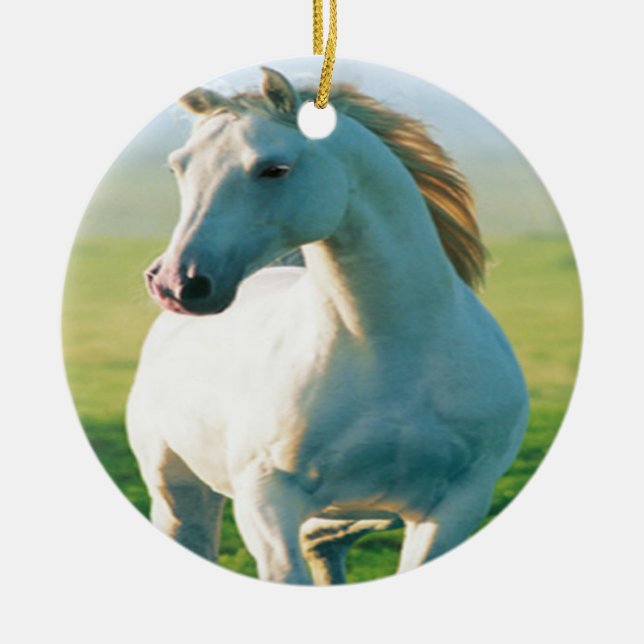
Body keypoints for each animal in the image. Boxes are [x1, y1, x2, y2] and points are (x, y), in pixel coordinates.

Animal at [126, 67, 529, 585]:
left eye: (274, 169)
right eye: (178, 167)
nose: (177, 283)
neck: (390, 351)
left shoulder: (458, 503)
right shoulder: (266, 499)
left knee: (324, 539)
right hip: (177, 493)